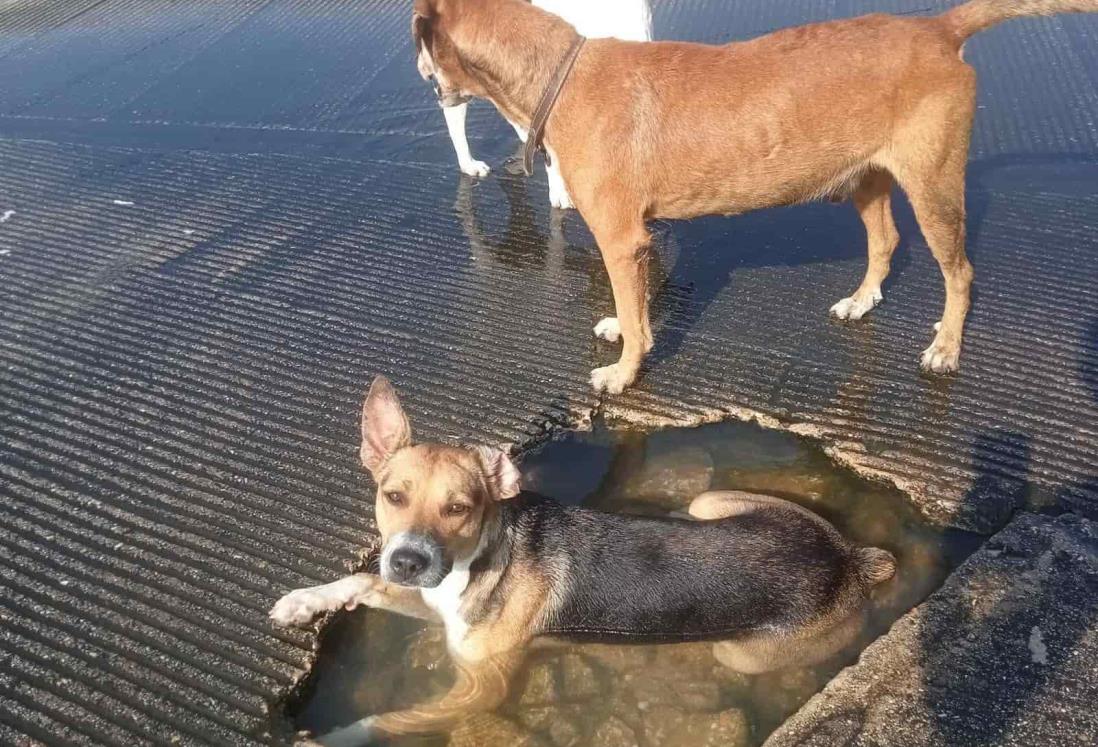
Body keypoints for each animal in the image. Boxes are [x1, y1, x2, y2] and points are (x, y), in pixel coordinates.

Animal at [270, 375, 895, 742]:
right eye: (392, 496)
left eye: (460, 508)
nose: (406, 561)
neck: (483, 558)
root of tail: (850, 557)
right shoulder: (439, 603)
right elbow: (361, 583)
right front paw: (304, 601)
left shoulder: (483, 688)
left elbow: (390, 718)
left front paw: (329, 739)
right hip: (715, 502)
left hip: (742, 651)